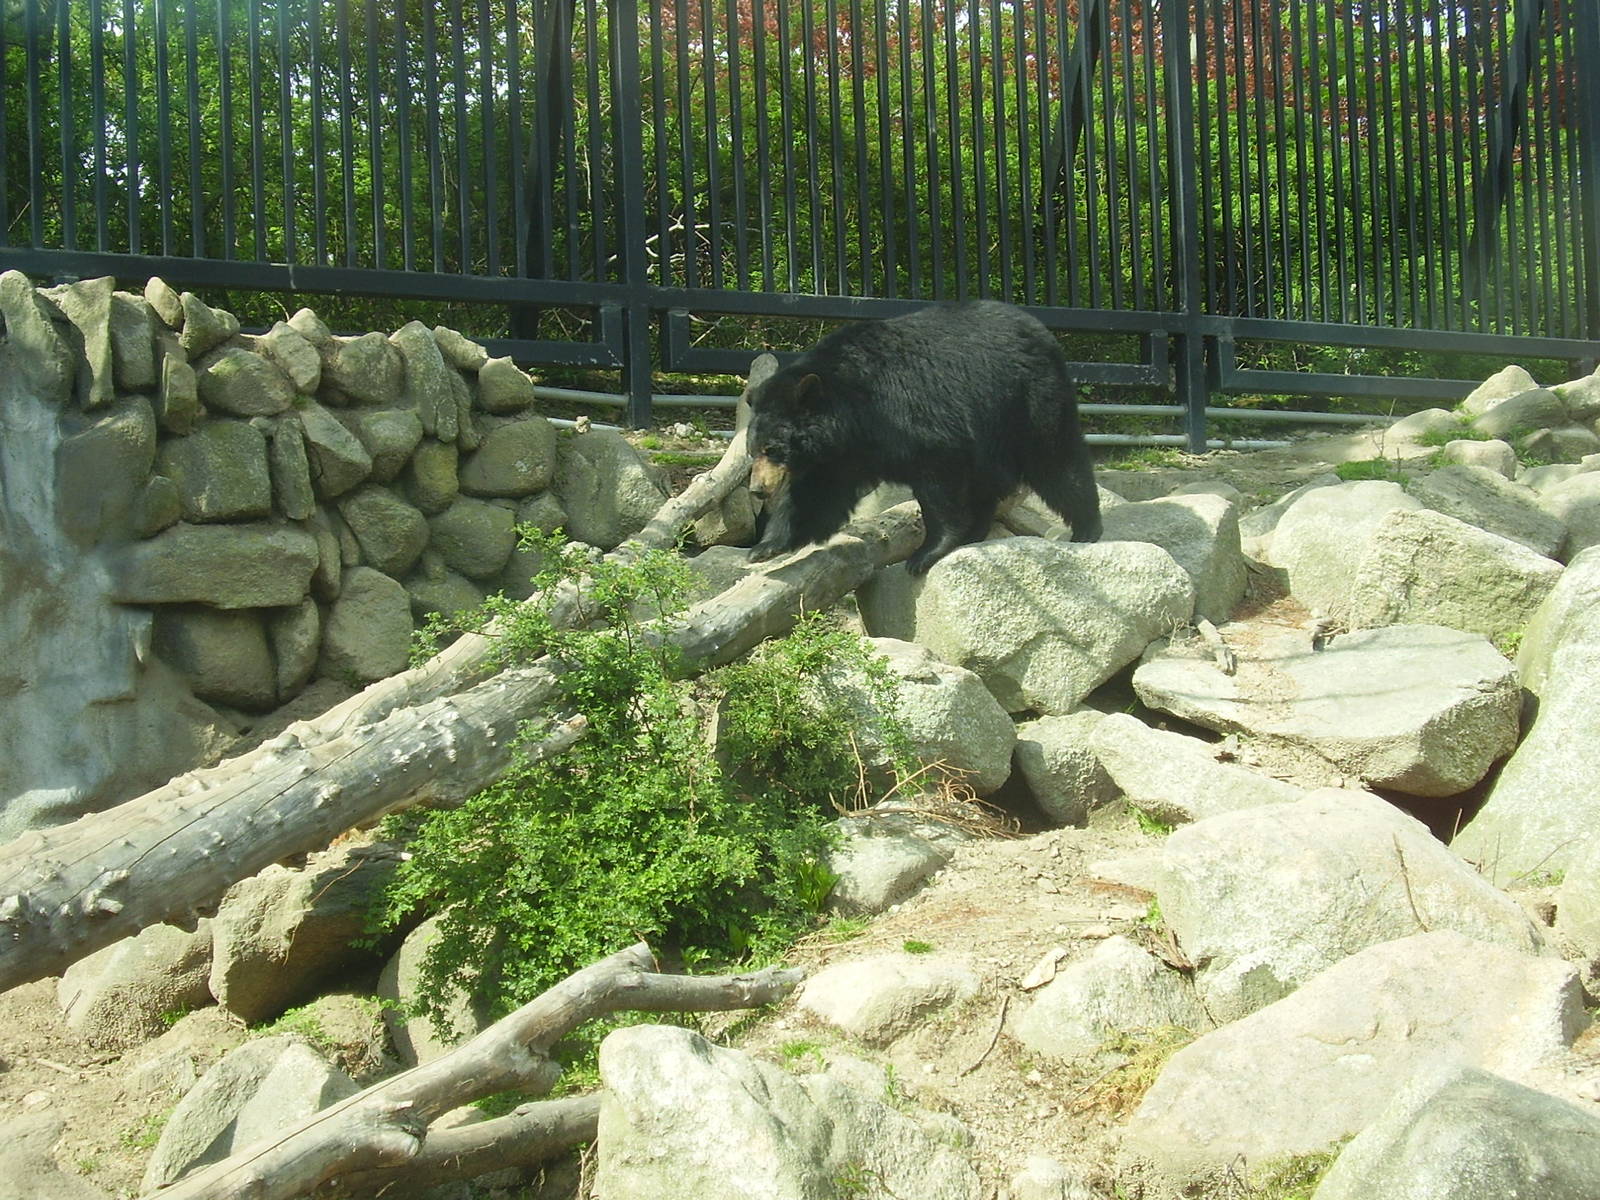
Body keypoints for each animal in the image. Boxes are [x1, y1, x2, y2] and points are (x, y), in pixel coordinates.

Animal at [745, 300, 1102, 576]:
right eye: (753, 451)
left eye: (773, 449)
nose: (757, 490)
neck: (854, 412)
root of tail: (1040, 328)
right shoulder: (843, 455)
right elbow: (814, 497)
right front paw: (764, 547)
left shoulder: (912, 416)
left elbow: (938, 481)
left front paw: (926, 553)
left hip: (1026, 400)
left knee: (1056, 461)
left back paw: (1086, 529)